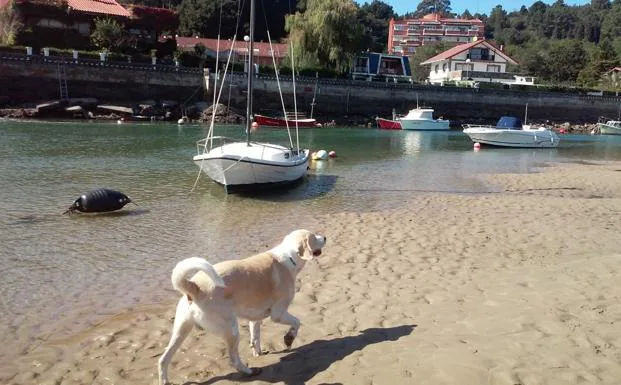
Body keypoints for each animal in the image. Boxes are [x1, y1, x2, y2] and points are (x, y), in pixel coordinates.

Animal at [157, 230, 326, 382]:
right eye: (313, 236)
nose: (324, 237)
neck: (289, 257)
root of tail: (193, 287)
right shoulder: (278, 314)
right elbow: (297, 322)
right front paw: (289, 339)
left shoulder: (255, 318)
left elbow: (255, 337)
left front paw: (258, 352)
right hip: (231, 329)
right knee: (233, 359)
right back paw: (250, 371)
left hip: (181, 330)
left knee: (163, 359)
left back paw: (164, 380)